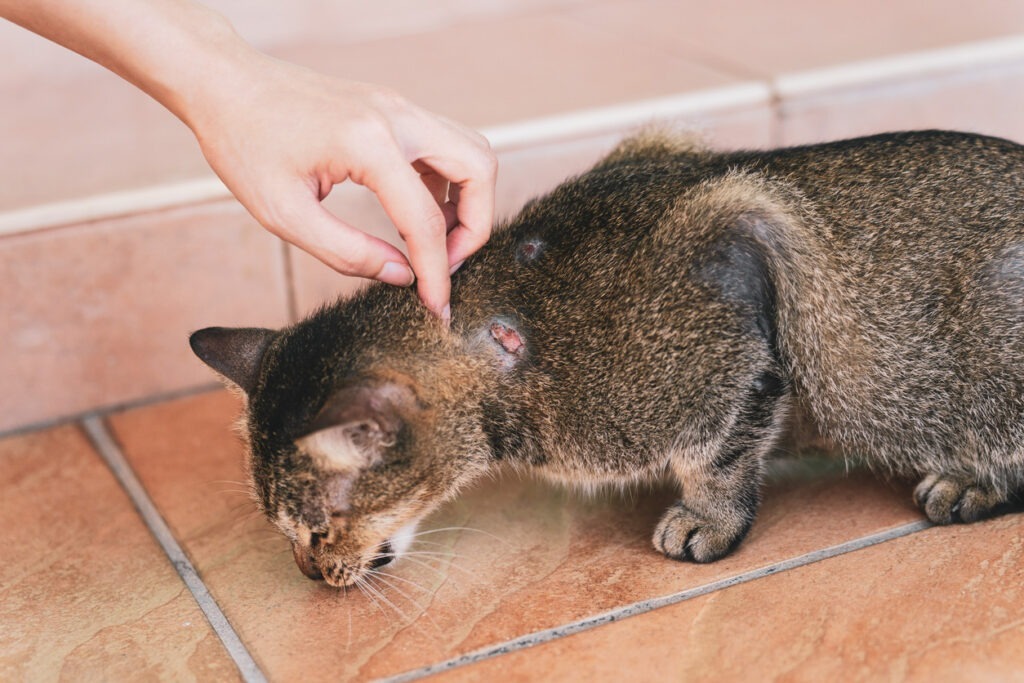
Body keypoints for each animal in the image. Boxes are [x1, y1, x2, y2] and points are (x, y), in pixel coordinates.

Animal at [190, 129, 1024, 589]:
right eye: (288, 534)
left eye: (316, 532)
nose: (311, 575)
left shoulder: (732, 305)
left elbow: (718, 456)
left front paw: (708, 519)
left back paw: (968, 481)